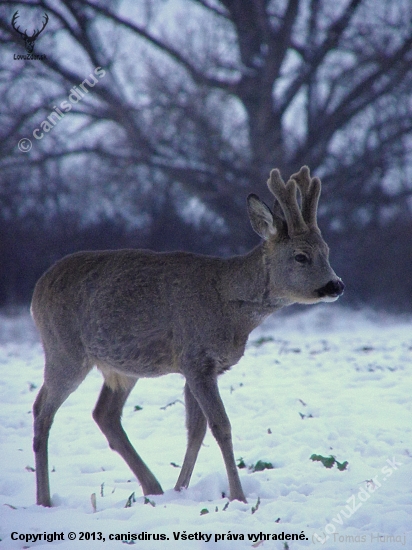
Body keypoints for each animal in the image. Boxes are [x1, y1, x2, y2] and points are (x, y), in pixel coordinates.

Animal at [30, 167, 342, 508]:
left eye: (327, 251)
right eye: (300, 256)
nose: (336, 285)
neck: (228, 303)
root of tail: (37, 290)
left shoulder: (204, 366)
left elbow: (196, 430)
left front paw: (181, 489)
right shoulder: (195, 358)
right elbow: (220, 426)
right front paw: (238, 496)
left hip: (122, 367)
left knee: (105, 414)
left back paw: (153, 487)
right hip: (64, 350)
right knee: (41, 409)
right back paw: (44, 500)